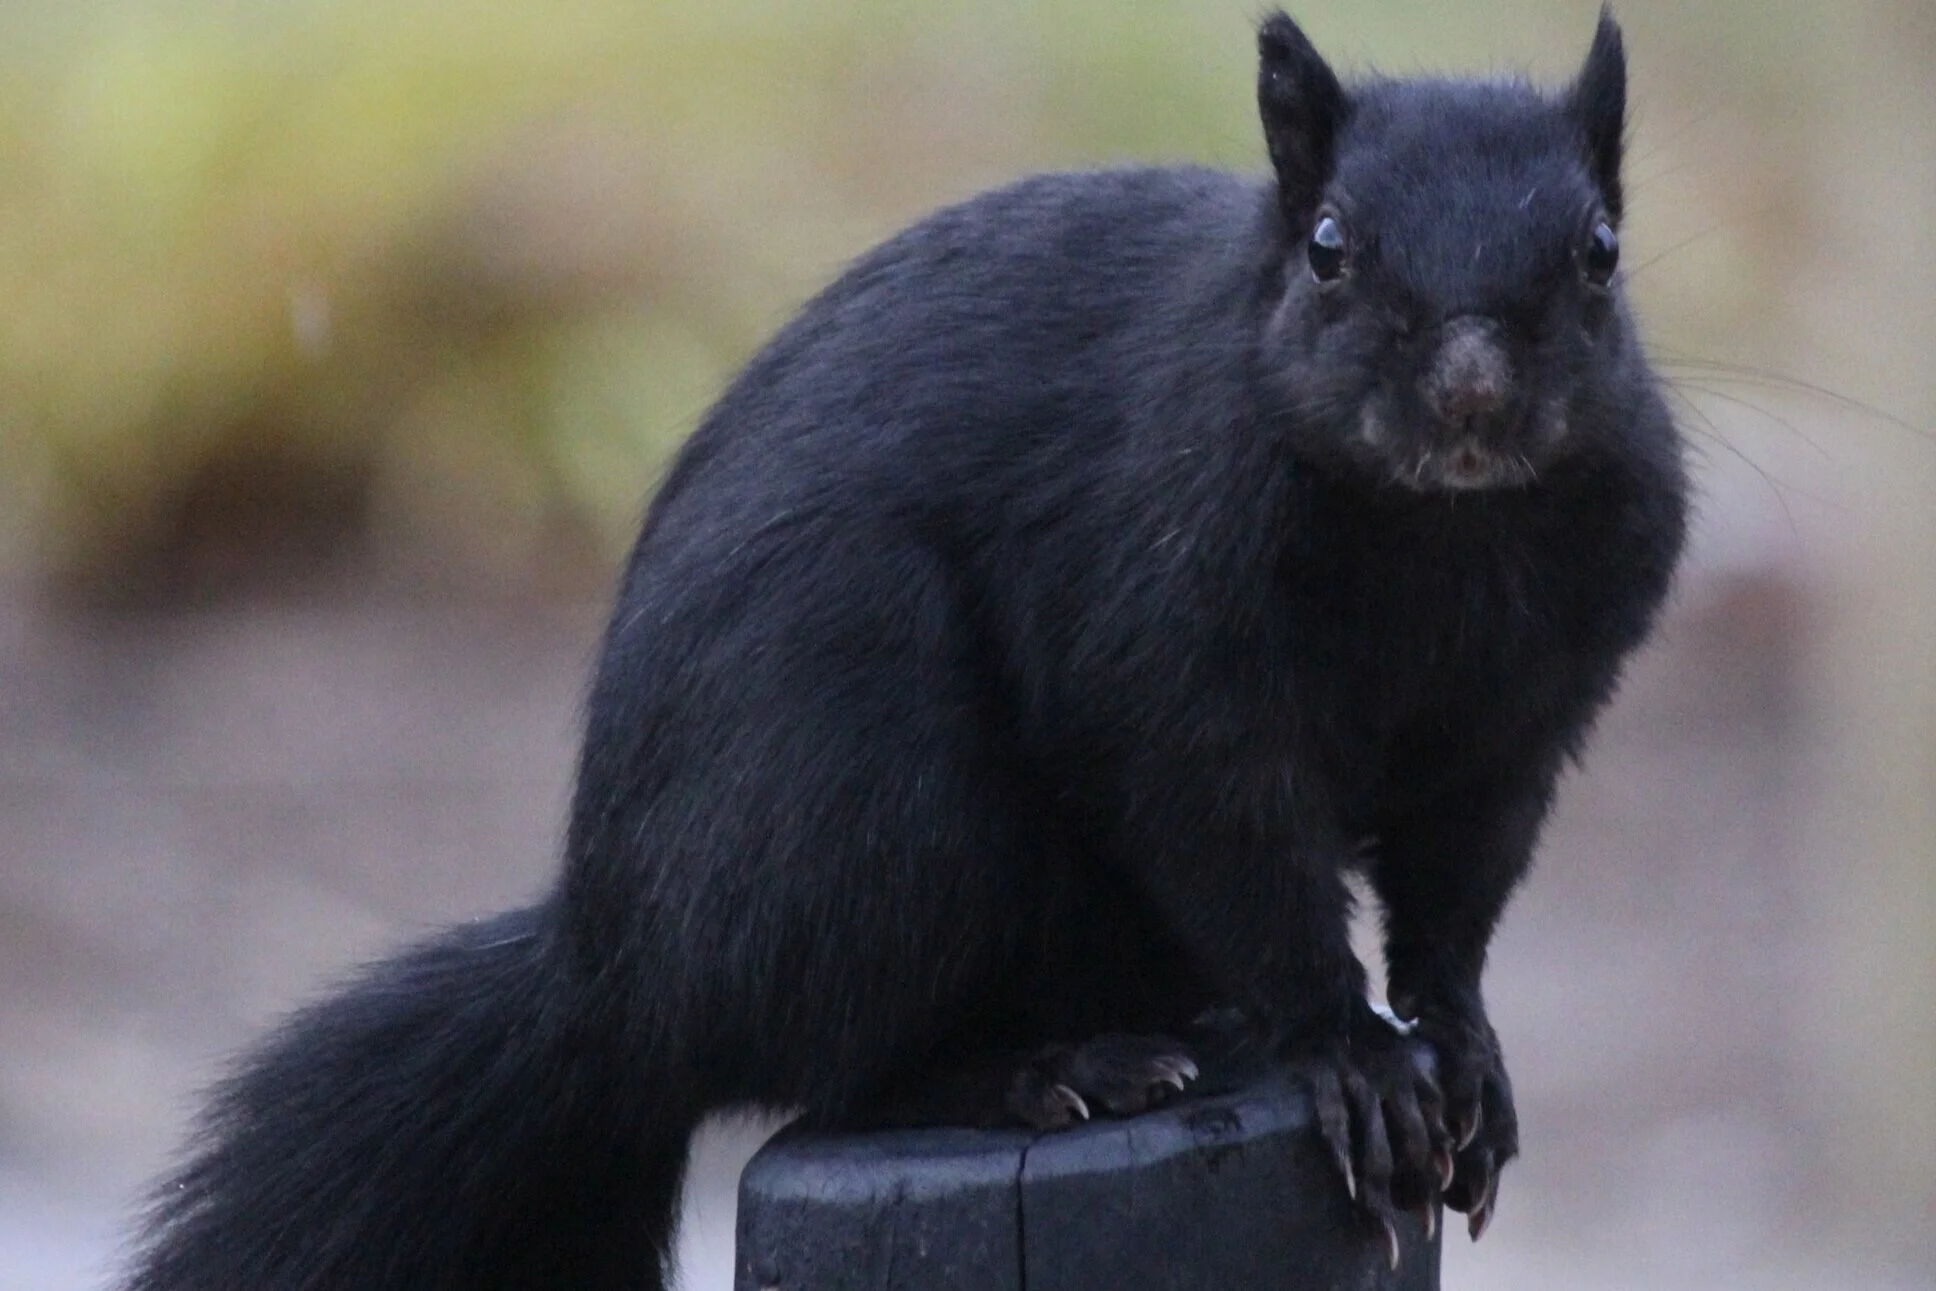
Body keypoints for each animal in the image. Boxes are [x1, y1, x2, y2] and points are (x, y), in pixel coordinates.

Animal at [125, 10, 1686, 1289]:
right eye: (1328, 250)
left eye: (1601, 255)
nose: (1472, 395)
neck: (1443, 539)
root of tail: (613, 975)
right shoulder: (1169, 658)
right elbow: (1242, 853)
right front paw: (1350, 1055)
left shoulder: (1523, 724)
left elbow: (1454, 898)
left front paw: (1458, 1045)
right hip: (861, 777)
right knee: (836, 1065)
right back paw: (1048, 1072)